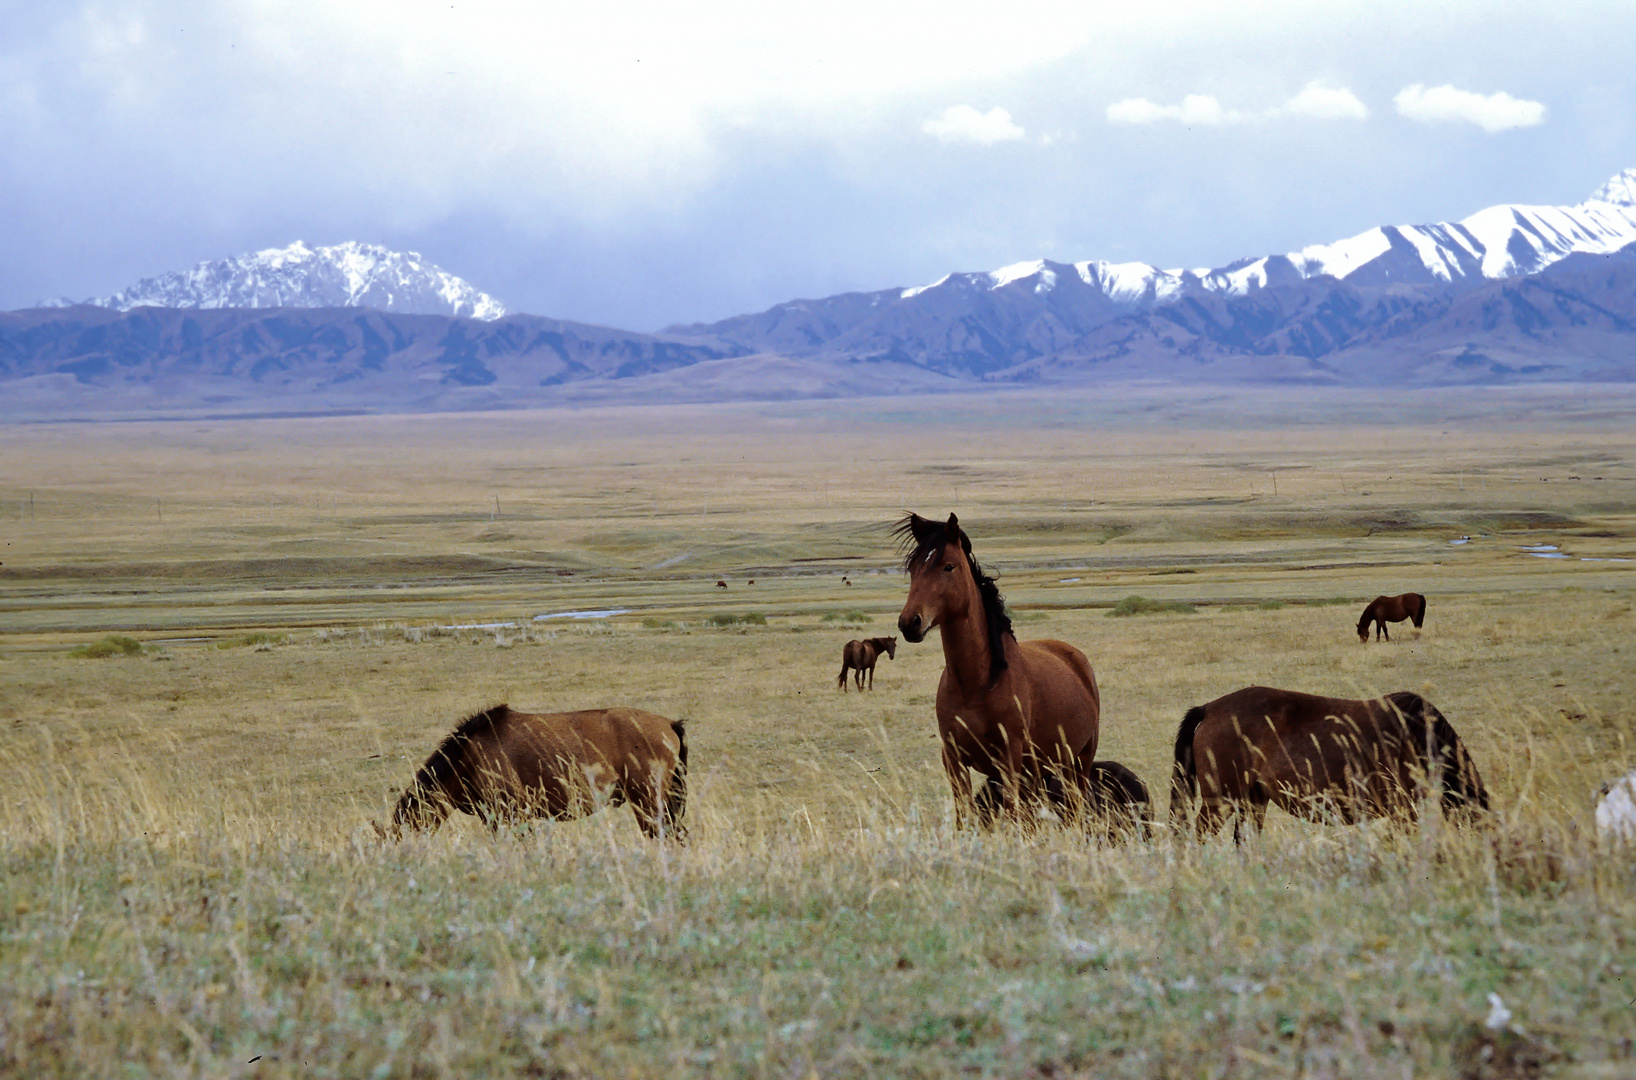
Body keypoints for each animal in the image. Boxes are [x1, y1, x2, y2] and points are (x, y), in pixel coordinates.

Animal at [889, 513, 1105, 828]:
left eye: (948, 566)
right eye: (913, 568)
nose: (909, 623)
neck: (976, 683)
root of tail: (1076, 658)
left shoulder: (1009, 760)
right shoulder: (953, 760)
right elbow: (964, 818)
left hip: (1078, 762)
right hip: (1038, 771)